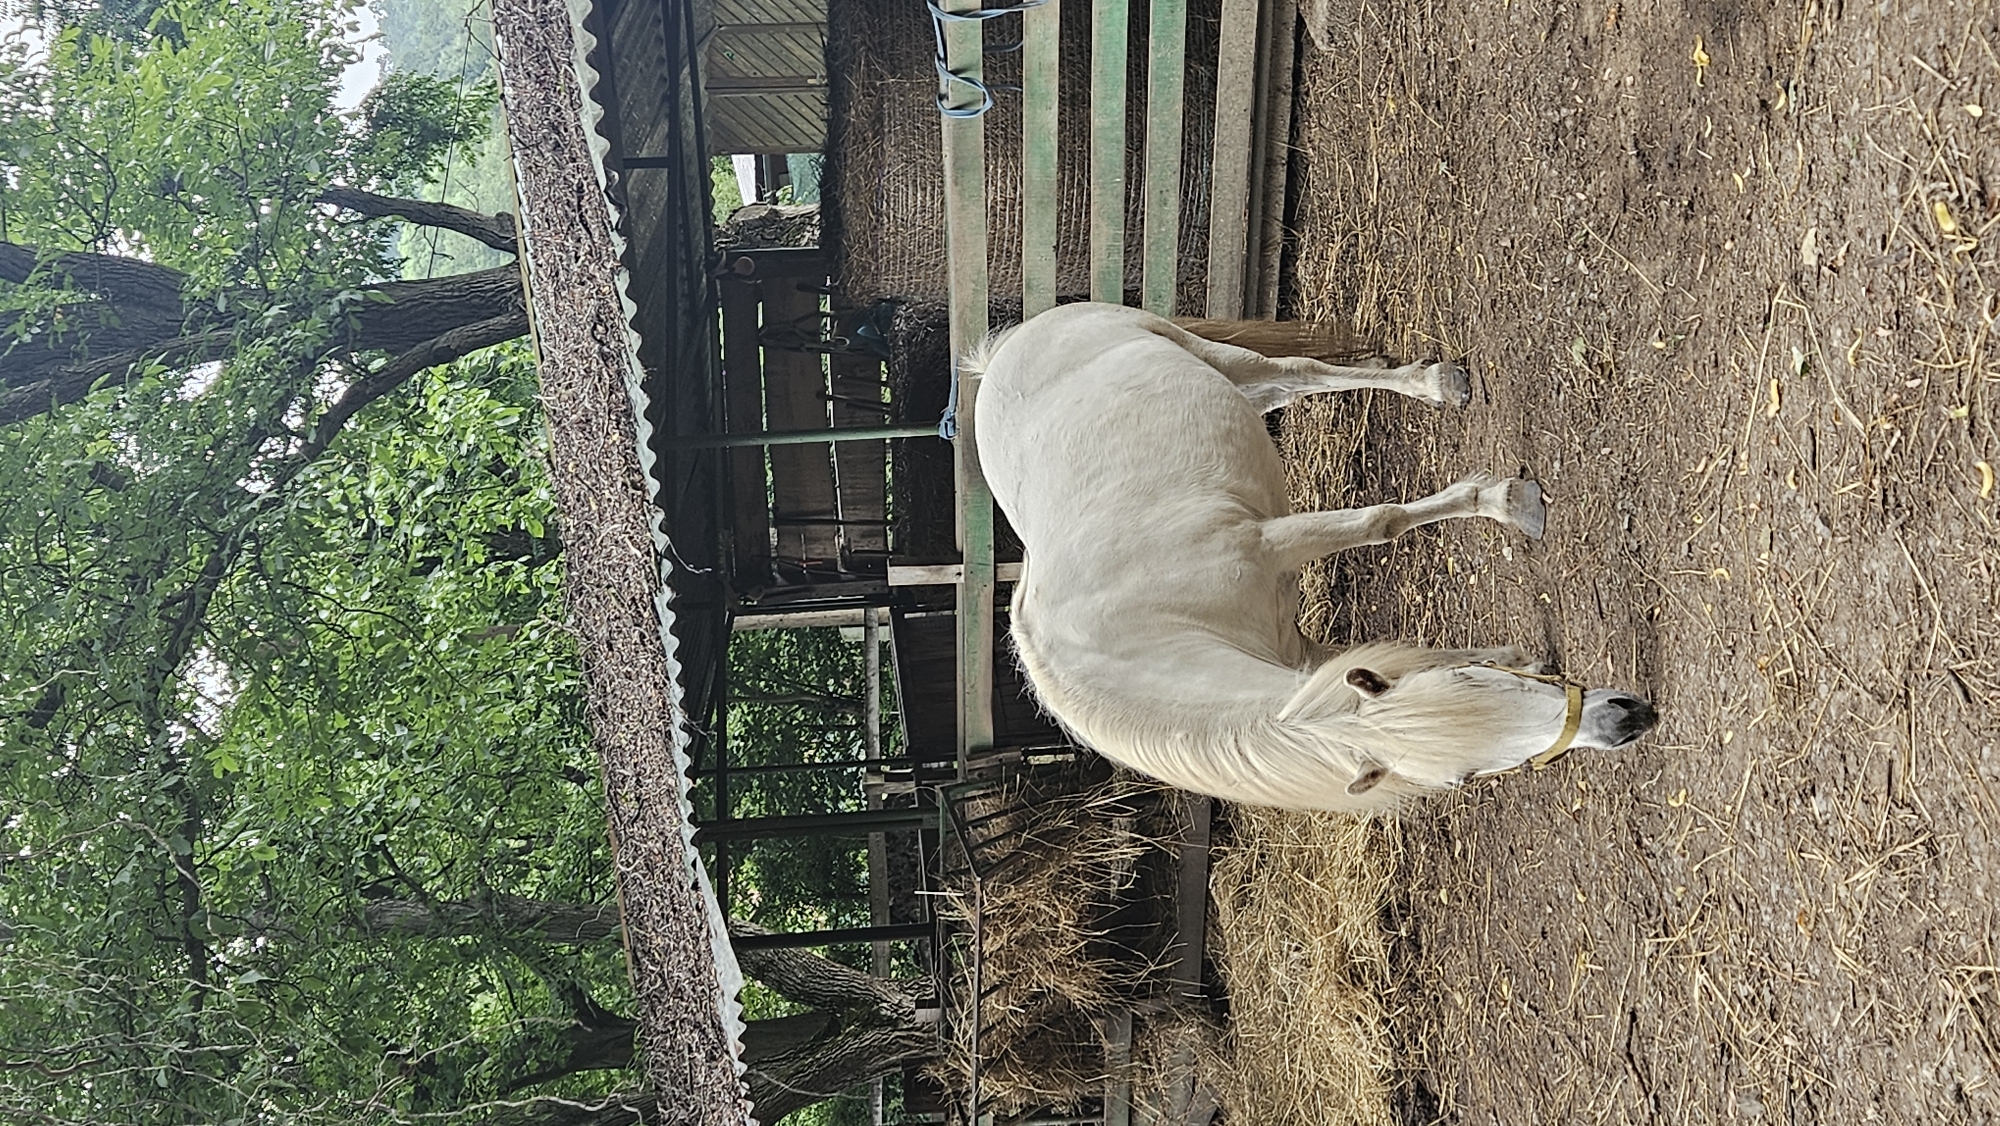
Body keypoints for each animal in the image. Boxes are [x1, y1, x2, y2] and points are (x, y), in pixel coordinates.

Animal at [970, 302, 1657, 812]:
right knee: (1286, 387)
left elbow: (1381, 521)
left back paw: (1436, 384)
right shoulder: (1299, 656)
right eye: (1466, 774)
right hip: (1234, 386)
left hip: (1208, 353)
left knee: (1297, 372)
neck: (1146, 632)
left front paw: (1510, 502)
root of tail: (1001, 351)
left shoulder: (1273, 542)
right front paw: (1516, 654)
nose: (1627, 720)